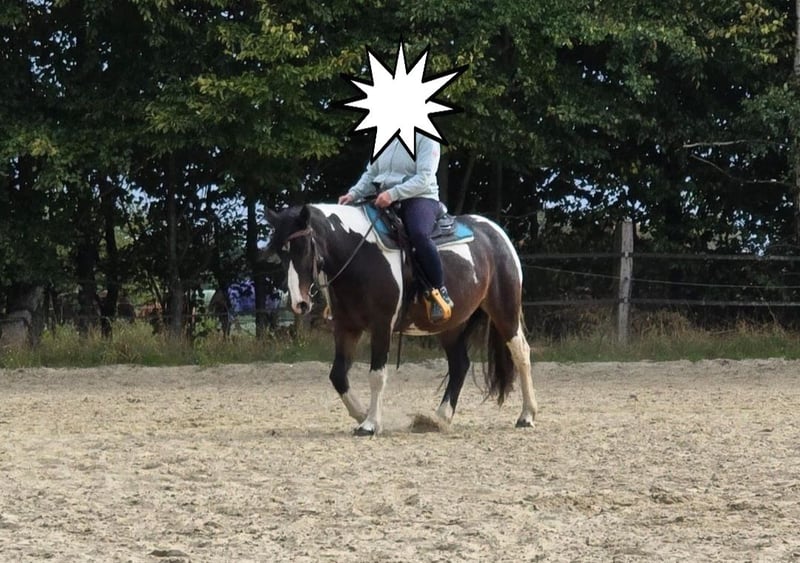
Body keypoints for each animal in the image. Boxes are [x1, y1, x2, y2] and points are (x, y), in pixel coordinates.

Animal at [265, 203, 538, 435]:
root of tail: (496, 232)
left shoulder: (381, 326)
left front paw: (370, 424)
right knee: (460, 364)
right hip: (451, 325)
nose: (299, 303)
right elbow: (338, 375)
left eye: (304, 247)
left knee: (520, 352)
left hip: (504, 309)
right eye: (280, 253)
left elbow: (376, 375)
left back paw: (527, 415)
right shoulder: (346, 328)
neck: (359, 255)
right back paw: (439, 418)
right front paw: (362, 413)